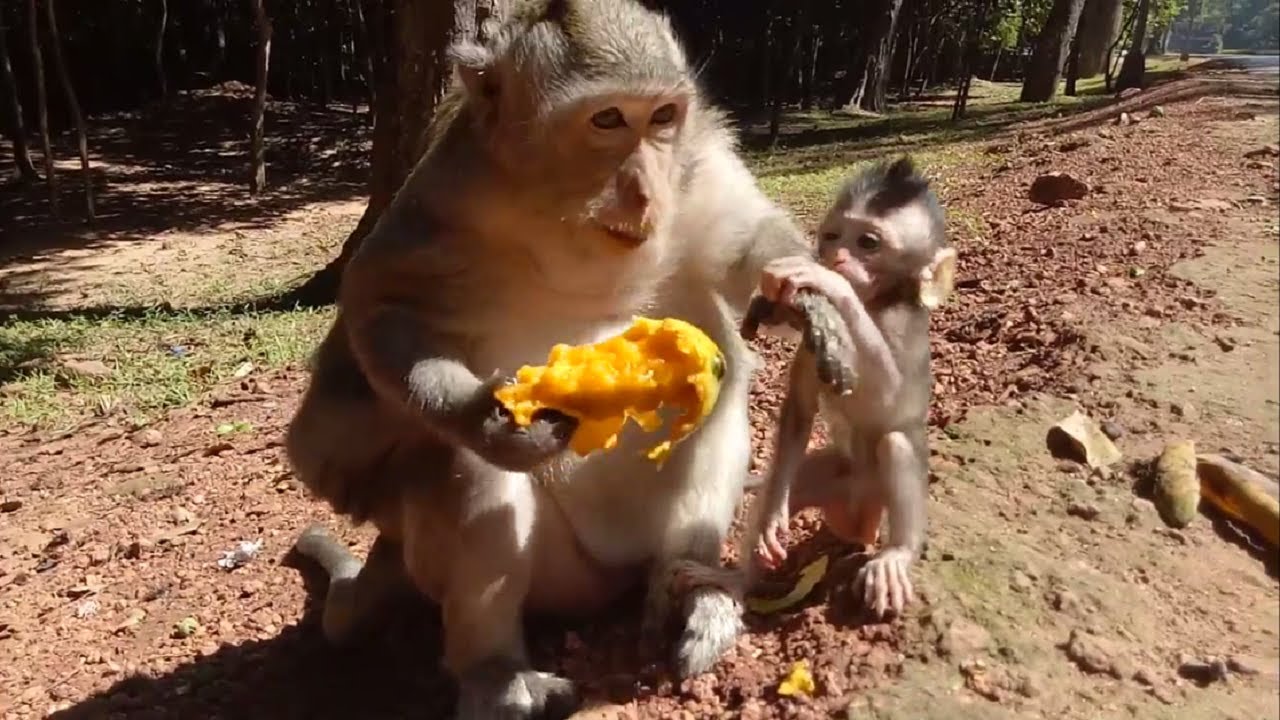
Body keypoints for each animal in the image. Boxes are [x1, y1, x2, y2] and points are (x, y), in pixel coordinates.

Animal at [280, 2, 852, 718]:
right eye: (607, 120)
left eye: (662, 117)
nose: (645, 191)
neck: (566, 229)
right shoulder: (446, 196)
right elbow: (381, 310)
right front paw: (483, 419)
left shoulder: (697, 165)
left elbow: (746, 244)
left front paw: (809, 298)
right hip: (557, 579)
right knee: (463, 469)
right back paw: (495, 673)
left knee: (720, 403)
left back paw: (693, 590)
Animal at [738, 156, 955, 619]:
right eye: (833, 235)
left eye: (868, 242)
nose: (836, 257)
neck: (878, 300)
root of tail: (861, 523)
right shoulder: (810, 340)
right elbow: (800, 408)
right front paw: (771, 520)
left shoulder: (901, 320)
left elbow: (891, 400)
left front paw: (834, 287)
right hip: (834, 480)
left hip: (877, 493)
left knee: (895, 442)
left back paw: (896, 554)